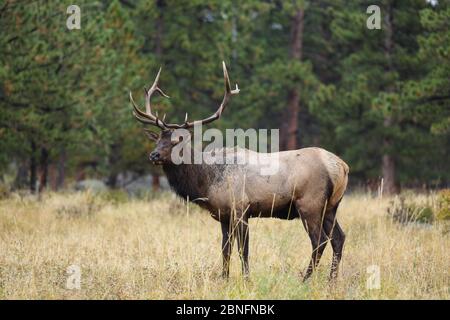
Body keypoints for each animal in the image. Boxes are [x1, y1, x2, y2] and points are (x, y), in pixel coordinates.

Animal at [128, 62, 350, 280]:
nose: (154, 155)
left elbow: (243, 250)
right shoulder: (224, 214)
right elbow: (225, 248)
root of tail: (341, 166)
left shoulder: (241, 209)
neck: (207, 183)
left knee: (319, 240)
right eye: (157, 140)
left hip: (309, 204)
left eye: (175, 142)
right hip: (331, 206)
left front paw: (246, 279)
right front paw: (224, 278)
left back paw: (306, 279)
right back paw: (331, 279)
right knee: (338, 237)